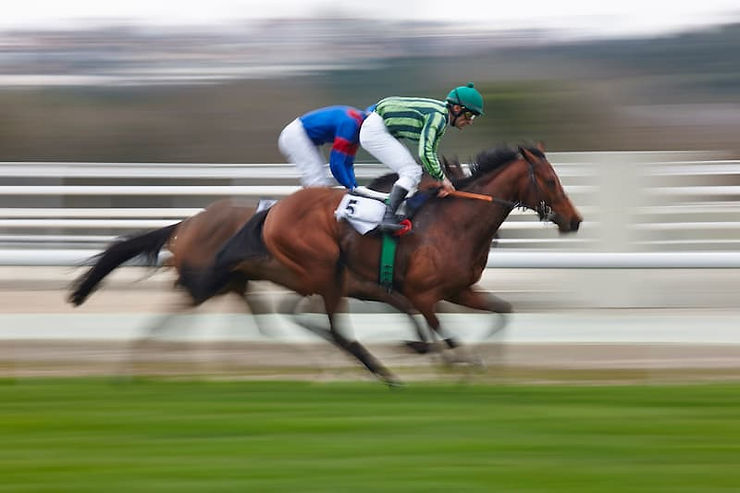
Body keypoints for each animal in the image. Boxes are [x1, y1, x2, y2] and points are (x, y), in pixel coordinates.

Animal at [179, 144, 582, 386]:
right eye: (550, 180)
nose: (574, 220)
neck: (456, 222)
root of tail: (274, 210)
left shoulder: (460, 290)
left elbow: (503, 311)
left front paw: (484, 364)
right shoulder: (423, 294)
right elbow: (447, 334)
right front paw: (458, 364)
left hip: (323, 279)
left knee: (306, 318)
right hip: (325, 273)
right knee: (334, 329)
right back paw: (385, 373)